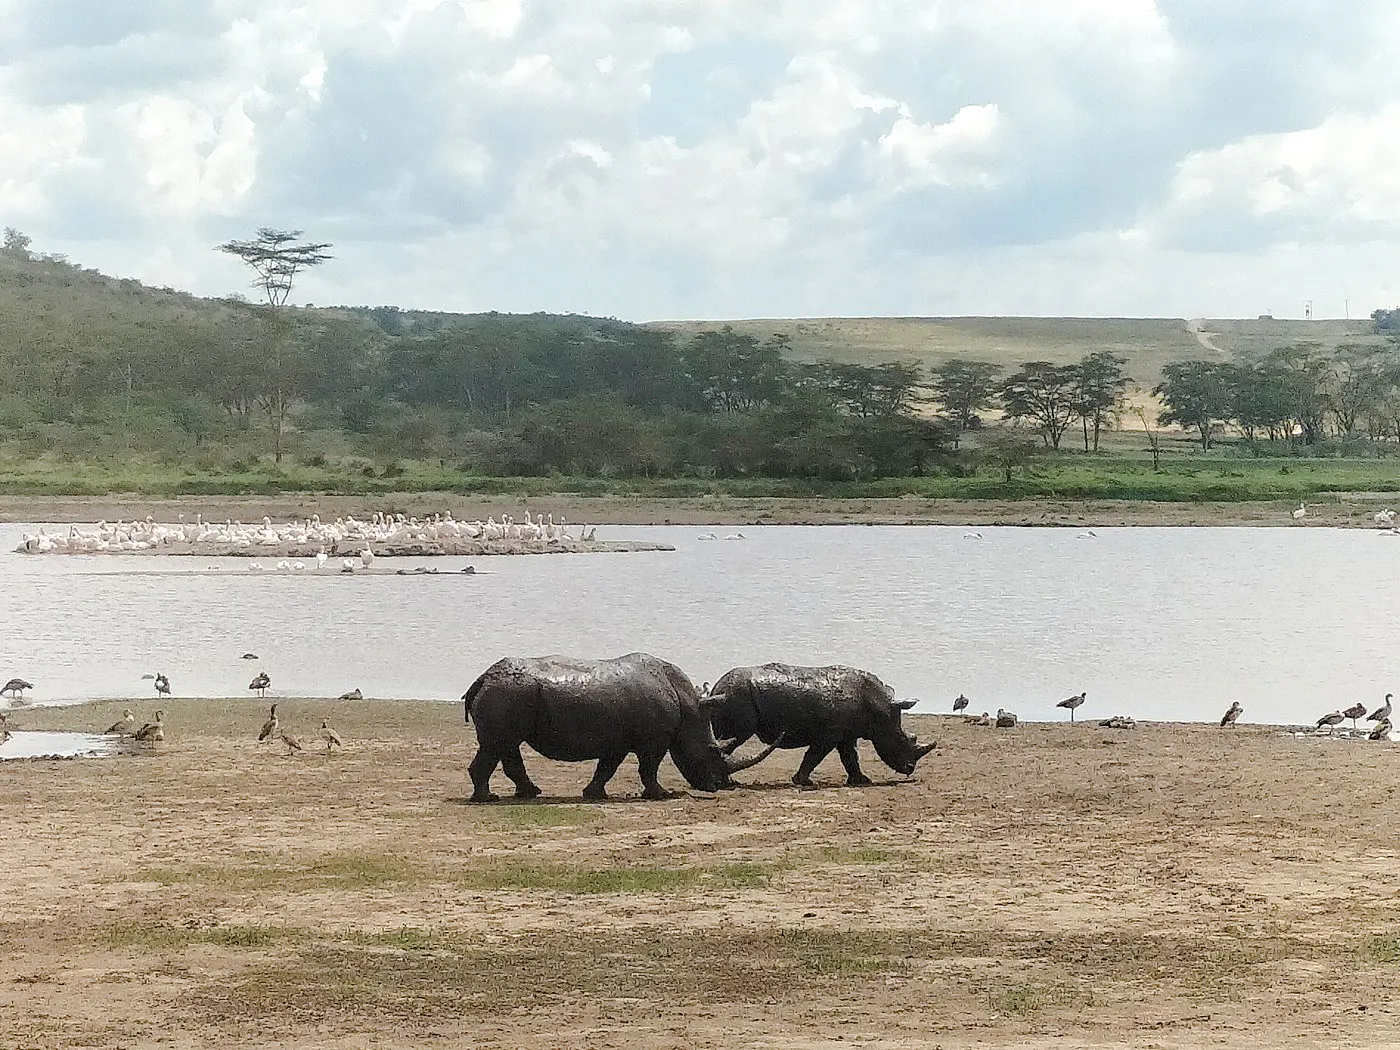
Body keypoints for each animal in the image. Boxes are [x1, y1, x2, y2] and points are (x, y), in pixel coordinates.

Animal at [461, 652, 778, 802]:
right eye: (712, 751)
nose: (716, 787)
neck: (689, 709)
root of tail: (482, 678)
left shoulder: (617, 741)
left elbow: (607, 767)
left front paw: (594, 794)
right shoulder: (654, 741)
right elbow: (649, 767)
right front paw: (660, 794)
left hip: (508, 693)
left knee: (506, 745)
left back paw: (530, 793)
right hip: (507, 693)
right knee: (497, 744)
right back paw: (489, 799)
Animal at [707, 663, 937, 787]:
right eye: (901, 739)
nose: (909, 769)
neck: (879, 707)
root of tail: (716, 686)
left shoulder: (846, 733)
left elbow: (850, 757)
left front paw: (862, 780)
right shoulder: (829, 734)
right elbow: (815, 755)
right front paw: (803, 782)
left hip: (733, 694)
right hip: (737, 696)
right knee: (734, 737)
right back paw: (728, 784)